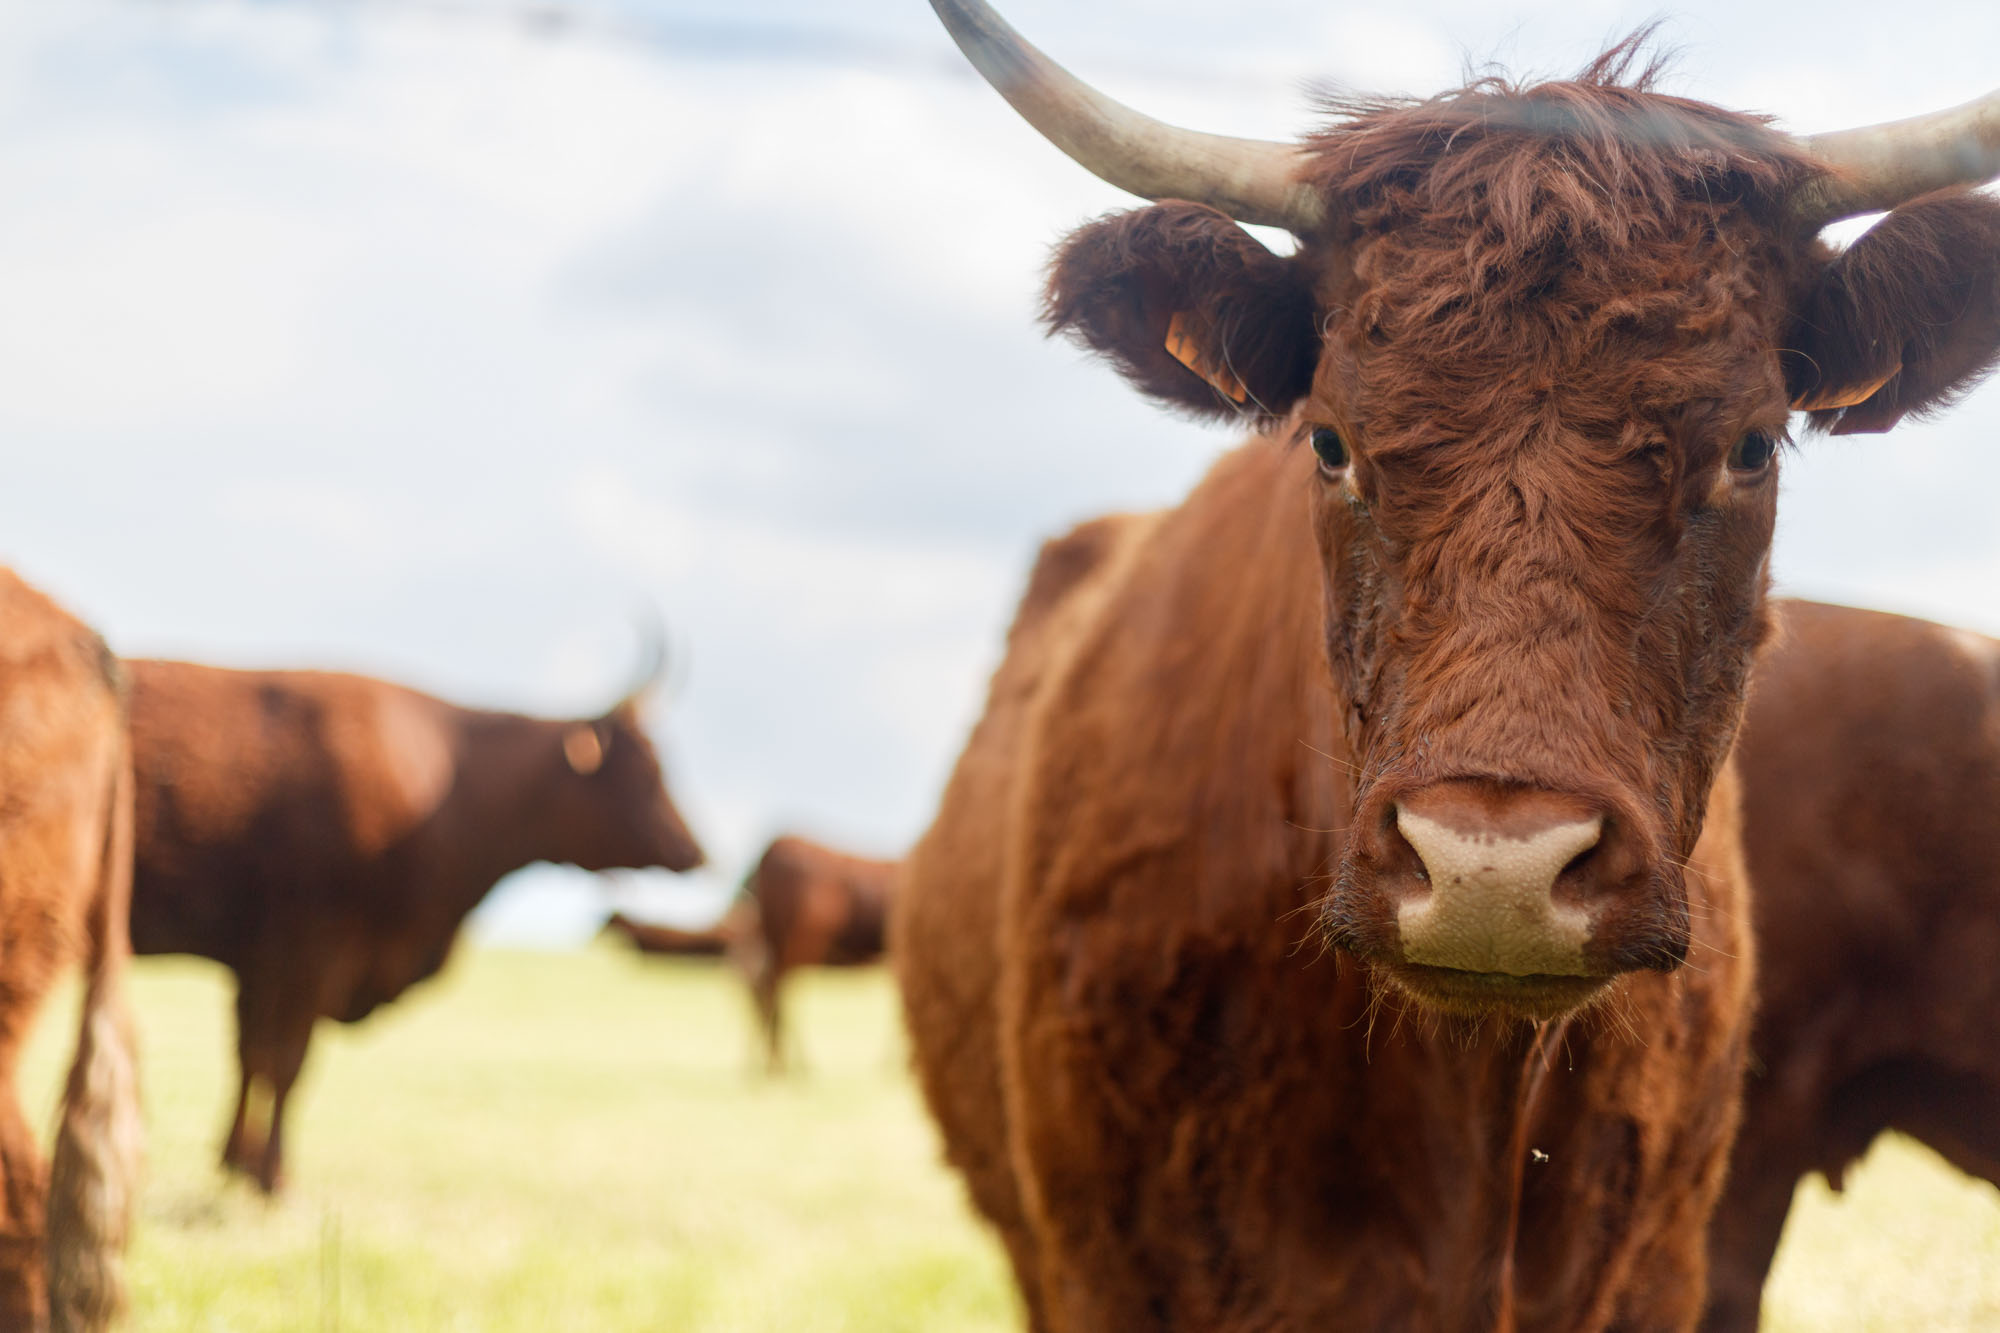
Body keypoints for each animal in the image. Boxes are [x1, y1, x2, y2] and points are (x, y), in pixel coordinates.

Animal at [125, 647, 706, 1194]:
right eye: (646, 769)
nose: (696, 852)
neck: (446, 778)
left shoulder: (260, 964)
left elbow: (251, 1058)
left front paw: (235, 1163)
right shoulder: (311, 951)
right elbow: (286, 1062)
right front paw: (273, 1178)